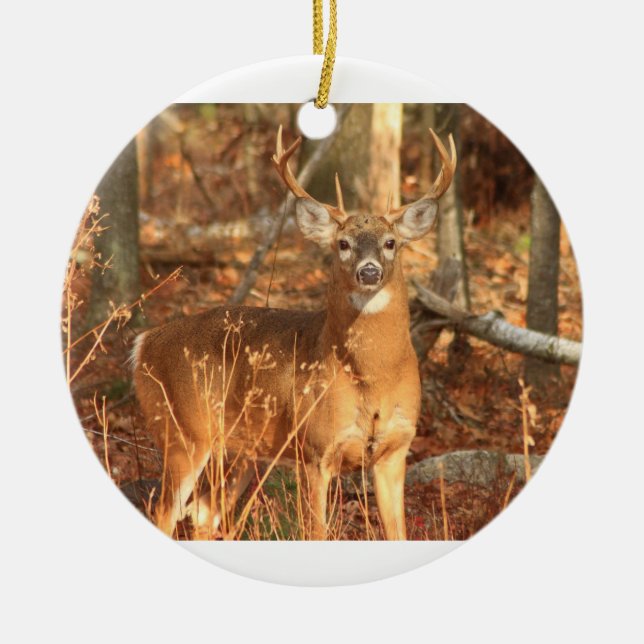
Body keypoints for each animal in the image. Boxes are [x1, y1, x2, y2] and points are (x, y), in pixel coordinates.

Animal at [131, 126, 456, 540]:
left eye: (391, 243)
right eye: (342, 243)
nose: (369, 271)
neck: (372, 379)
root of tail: (145, 344)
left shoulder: (396, 450)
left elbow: (397, 533)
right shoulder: (315, 448)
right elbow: (315, 533)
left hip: (242, 449)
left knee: (204, 513)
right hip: (183, 430)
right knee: (164, 511)